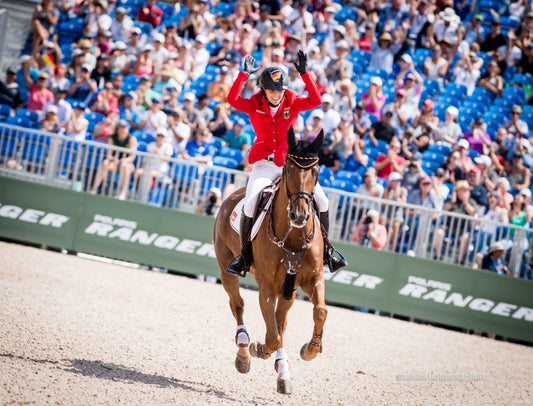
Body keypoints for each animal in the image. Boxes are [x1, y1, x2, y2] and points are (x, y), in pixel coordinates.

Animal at [214, 127, 326, 394]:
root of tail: (231, 195)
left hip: (288, 290)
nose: (299, 215)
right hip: (226, 270)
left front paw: (310, 349)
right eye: (288, 169)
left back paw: (282, 370)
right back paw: (244, 350)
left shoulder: (309, 280)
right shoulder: (267, 286)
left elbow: (319, 311)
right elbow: (272, 337)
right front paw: (259, 349)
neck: (293, 234)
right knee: (237, 305)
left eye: (316, 171)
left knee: (280, 321)